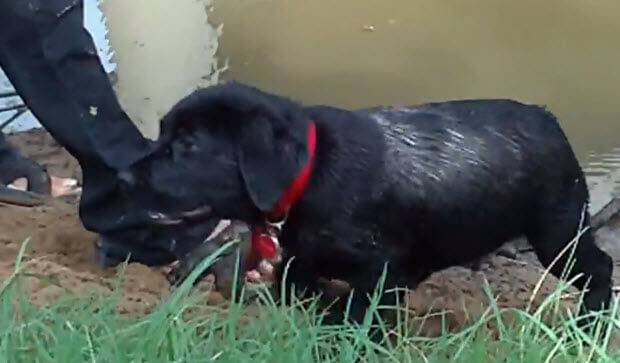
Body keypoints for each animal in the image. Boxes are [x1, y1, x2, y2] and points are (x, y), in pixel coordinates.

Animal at [118, 82, 612, 330]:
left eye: (188, 145)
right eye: (164, 134)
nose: (122, 177)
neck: (311, 172)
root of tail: (547, 116)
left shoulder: (379, 268)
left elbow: (355, 313)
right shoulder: (300, 258)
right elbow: (300, 288)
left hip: (558, 232)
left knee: (601, 266)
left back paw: (594, 321)